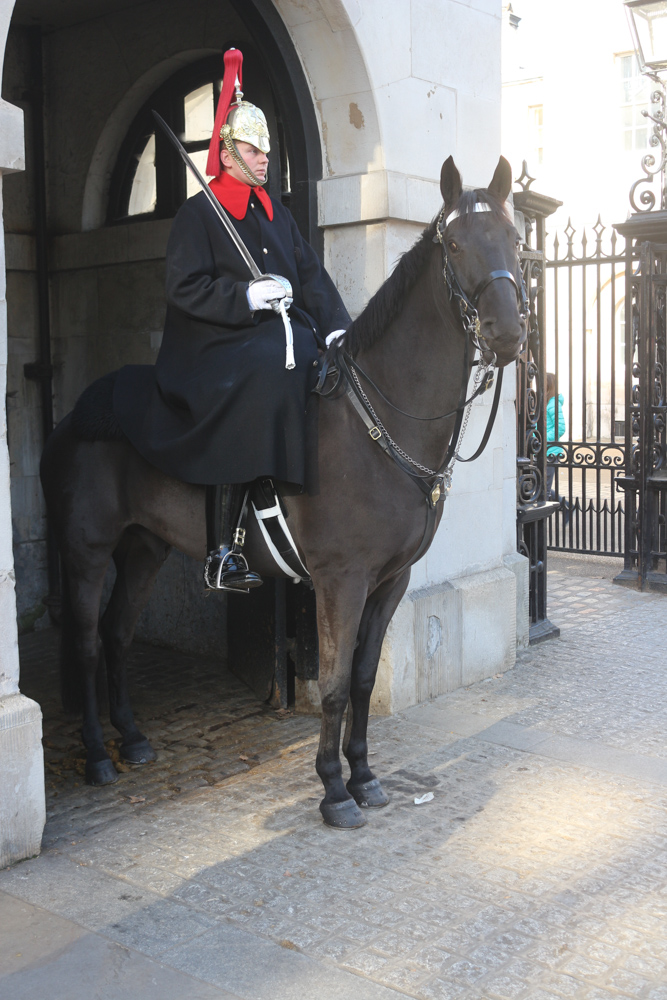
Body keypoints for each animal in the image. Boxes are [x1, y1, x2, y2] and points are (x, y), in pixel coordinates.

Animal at [40, 156, 528, 828]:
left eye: (514, 240)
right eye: (455, 245)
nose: (507, 335)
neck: (379, 421)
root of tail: (79, 410)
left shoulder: (391, 580)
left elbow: (364, 678)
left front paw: (365, 776)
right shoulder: (340, 580)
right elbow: (333, 685)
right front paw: (333, 790)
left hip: (144, 548)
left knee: (117, 633)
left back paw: (133, 740)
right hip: (86, 553)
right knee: (88, 644)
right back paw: (95, 756)